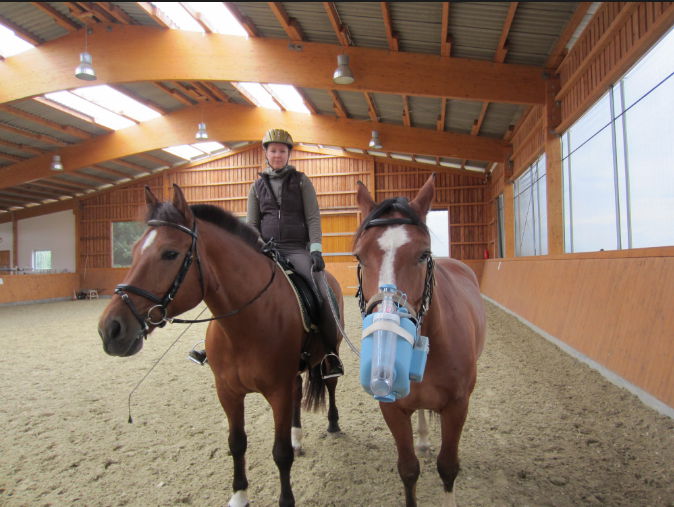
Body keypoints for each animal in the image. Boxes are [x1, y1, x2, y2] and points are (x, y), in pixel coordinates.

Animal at [97, 184, 344, 507]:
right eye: (136, 250)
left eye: (170, 253)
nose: (110, 329)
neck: (244, 326)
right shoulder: (227, 392)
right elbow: (237, 443)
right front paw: (239, 496)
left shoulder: (277, 392)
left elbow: (280, 454)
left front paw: (286, 499)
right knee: (298, 390)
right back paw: (297, 437)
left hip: (329, 354)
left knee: (329, 384)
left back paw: (333, 425)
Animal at [353, 174, 486, 507]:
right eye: (359, 256)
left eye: (423, 254)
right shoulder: (391, 408)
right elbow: (408, 469)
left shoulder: (457, 407)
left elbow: (448, 467)